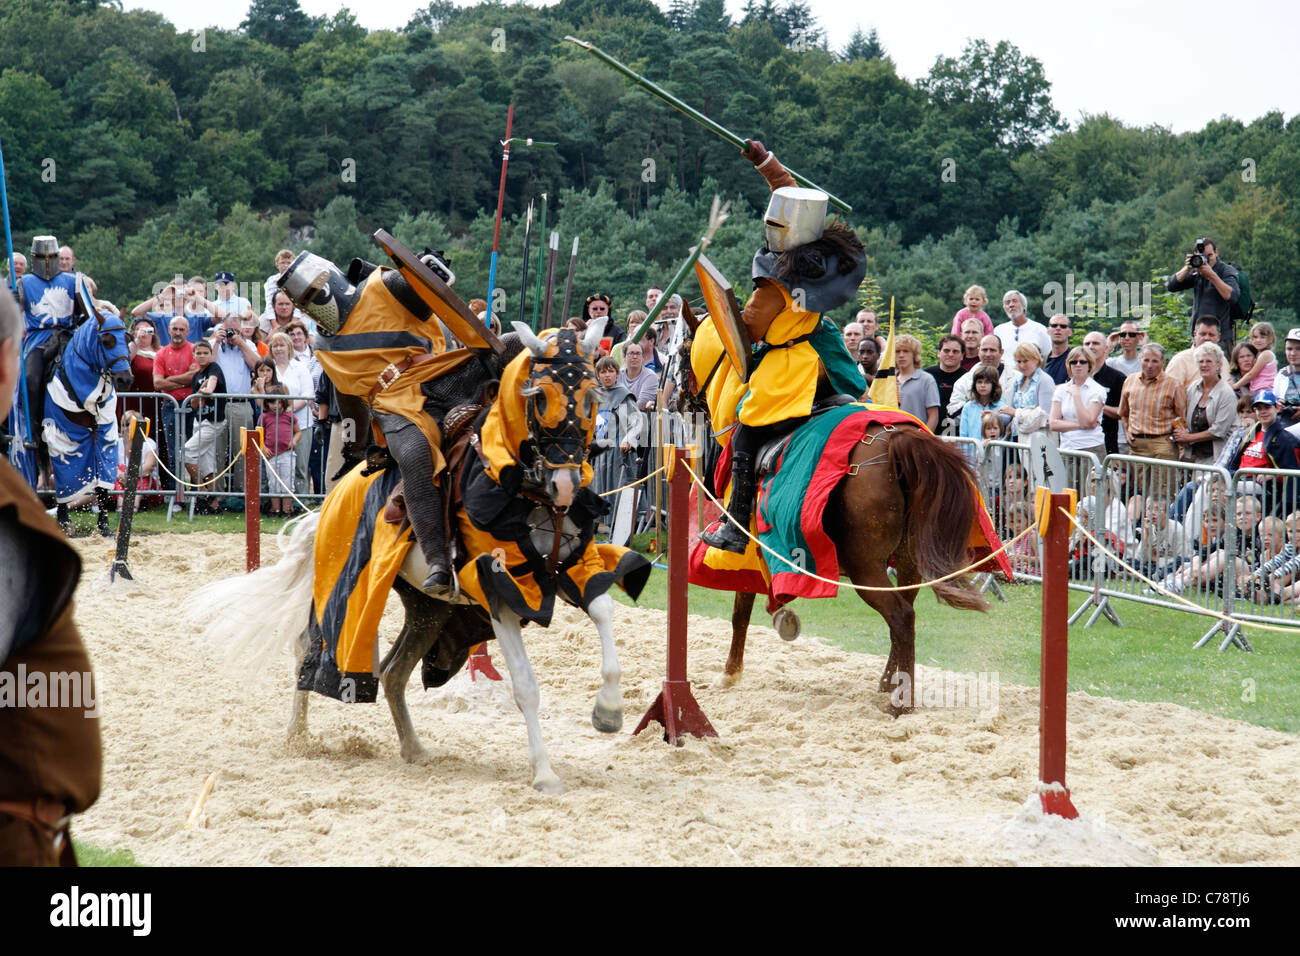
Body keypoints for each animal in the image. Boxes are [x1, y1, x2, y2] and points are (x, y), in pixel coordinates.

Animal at [712, 421, 982, 712]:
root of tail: (894, 444)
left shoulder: (749, 548)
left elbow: (740, 613)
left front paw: (730, 673)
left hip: (865, 569)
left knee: (901, 616)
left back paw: (901, 704)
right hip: (908, 562)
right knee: (904, 615)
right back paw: (889, 683)